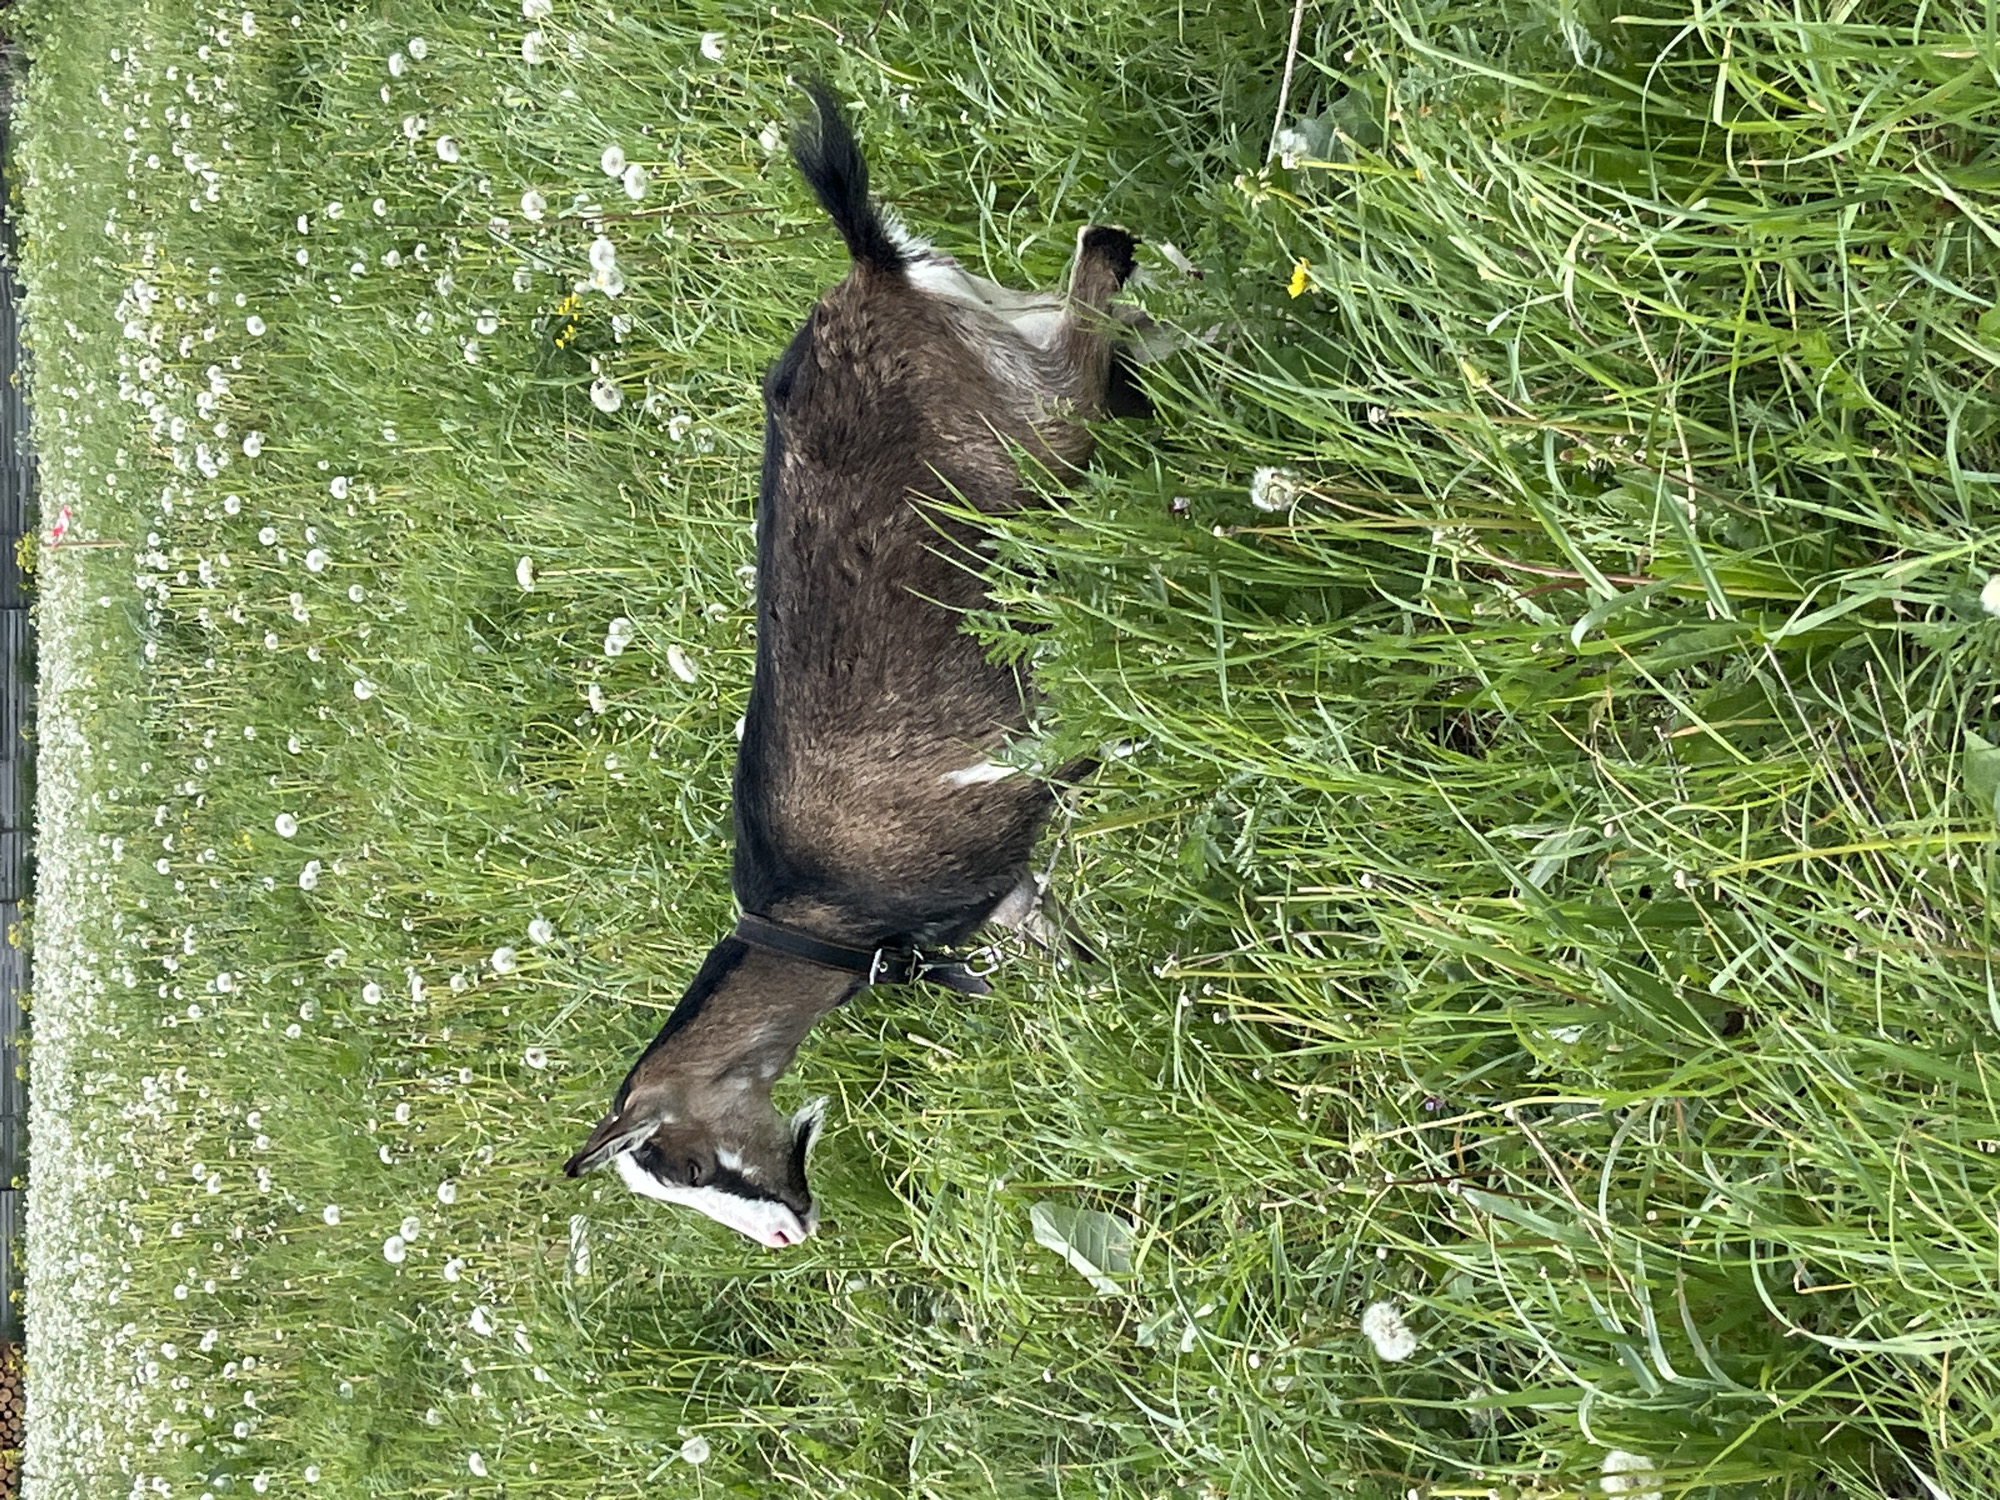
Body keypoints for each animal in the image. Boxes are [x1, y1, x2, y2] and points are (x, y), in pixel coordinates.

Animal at [563, 82, 1141, 1247]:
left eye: (686, 1163)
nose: (788, 1234)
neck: (822, 914)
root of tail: (874, 271)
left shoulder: (1013, 779)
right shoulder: (1004, 889)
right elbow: (1071, 952)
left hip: (1030, 428)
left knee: (1095, 276)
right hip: (1004, 340)